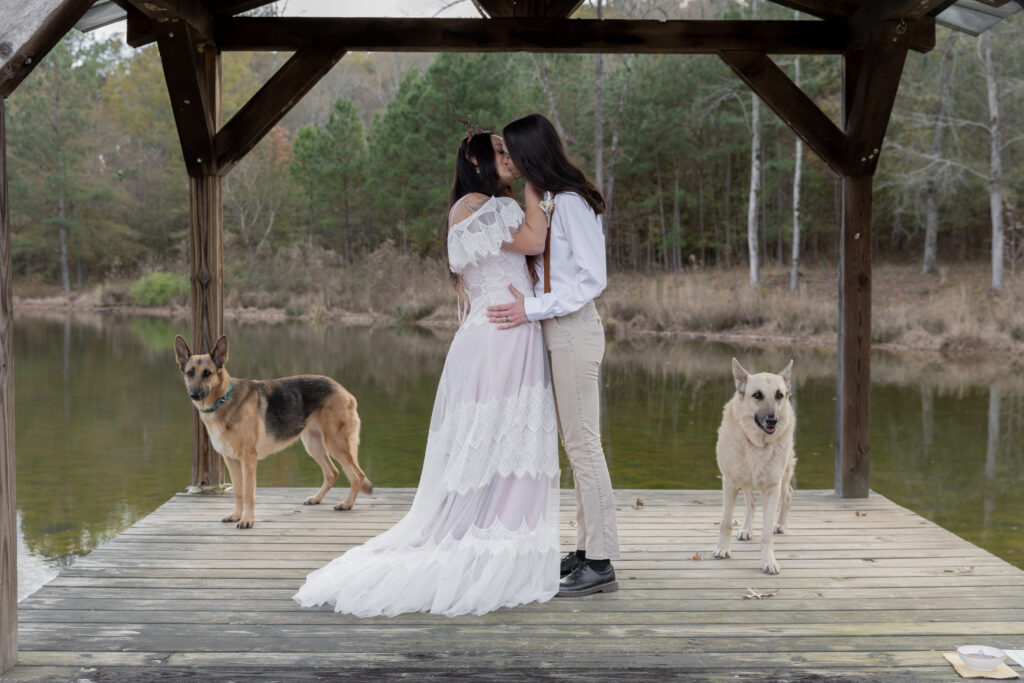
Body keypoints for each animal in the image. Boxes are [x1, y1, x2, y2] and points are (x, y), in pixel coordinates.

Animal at [174, 335, 370, 528]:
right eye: (190, 373)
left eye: (207, 373)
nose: (194, 394)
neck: (224, 399)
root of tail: (344, 390)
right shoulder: (231, 460)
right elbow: (238, 492)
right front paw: (236, 516)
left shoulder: (248, 460)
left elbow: (248, 494)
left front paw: (247, 520)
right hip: (314, 445)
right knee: (332, 473)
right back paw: (317, 499)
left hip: (335, 444)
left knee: (358, 475)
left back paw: (347, 504)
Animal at [712, 358, 798, 577]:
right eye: (757, 395)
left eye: (779, 395)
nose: (772, 420)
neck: (757, 444)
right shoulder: (730, 482)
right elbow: (726, 522)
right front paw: (723, 549)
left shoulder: (772, 487)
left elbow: (766, 534)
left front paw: (768, 561)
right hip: (745, 480)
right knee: (751, 502)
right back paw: (746, 529)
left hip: (783, 477)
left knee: (788, 493)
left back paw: (781, 524)